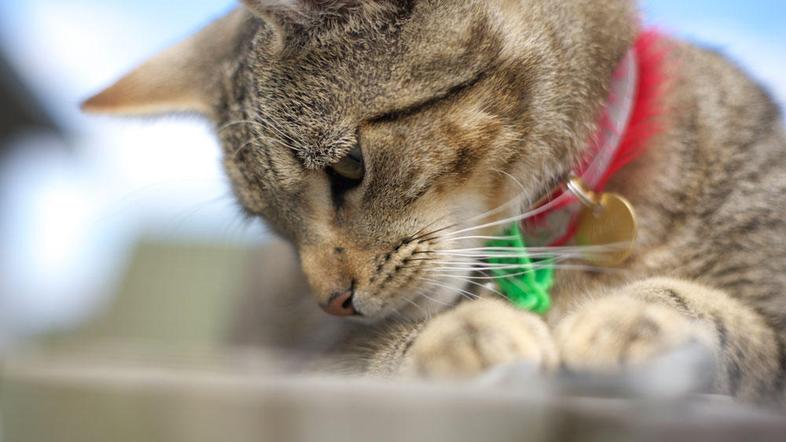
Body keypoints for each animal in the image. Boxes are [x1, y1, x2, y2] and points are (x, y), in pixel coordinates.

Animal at [84, 0, 784, 406]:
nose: (331, 302)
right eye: (273, 223)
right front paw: (468, 333)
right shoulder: (314, 364)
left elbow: (715, 315)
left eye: (348, 167)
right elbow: (384, 356)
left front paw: (634, 316)